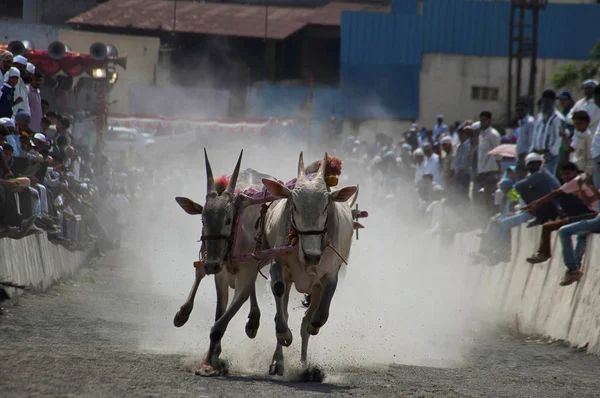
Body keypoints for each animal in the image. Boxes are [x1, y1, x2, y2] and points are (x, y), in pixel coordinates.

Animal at [262, 152, 356, 376]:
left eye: (326, 207)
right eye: (295, 205)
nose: (312, 256)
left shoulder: (328, 276)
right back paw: (278, 362)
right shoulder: (278, 264)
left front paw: (314, 326)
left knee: (306, 320)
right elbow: (279, 301)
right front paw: (284, 335)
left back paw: (304, 365)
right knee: (284, 311)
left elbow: (317, 317)